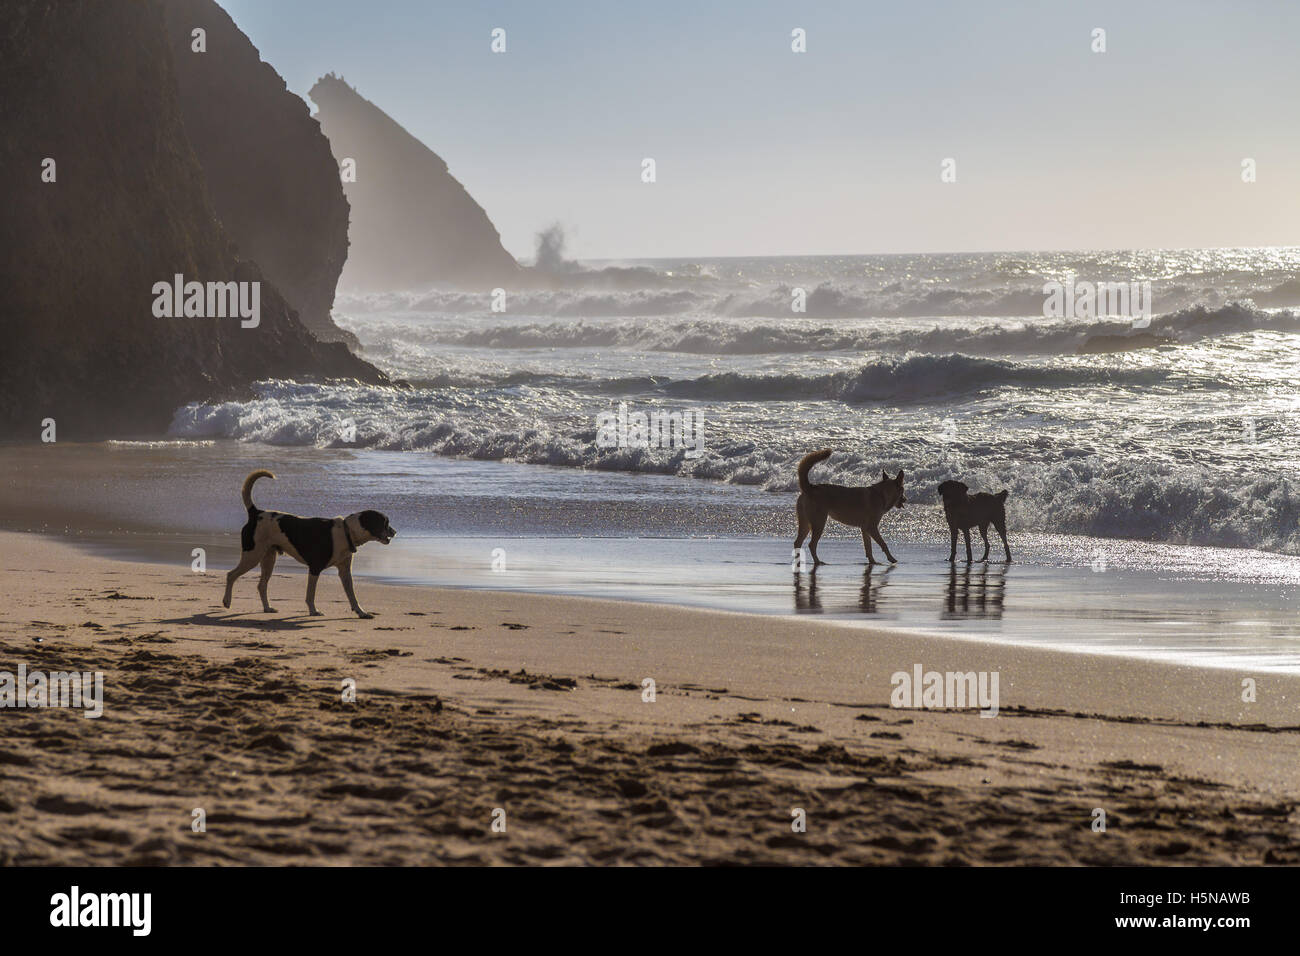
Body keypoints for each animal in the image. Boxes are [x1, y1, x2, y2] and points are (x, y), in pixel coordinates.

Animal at [222, 470, 395, 621]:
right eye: (385, 523)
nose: (394, 532)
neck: (347, 531)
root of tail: (256, 513)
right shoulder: (315, 568)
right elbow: (310, 595)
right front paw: (313, 611)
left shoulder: (345, 572)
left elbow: (352, 595)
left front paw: (361, 612)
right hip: (253, 555)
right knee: (231, 575)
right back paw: (227, 601)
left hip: (268, 558)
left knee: (261, 585)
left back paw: (267, 608)